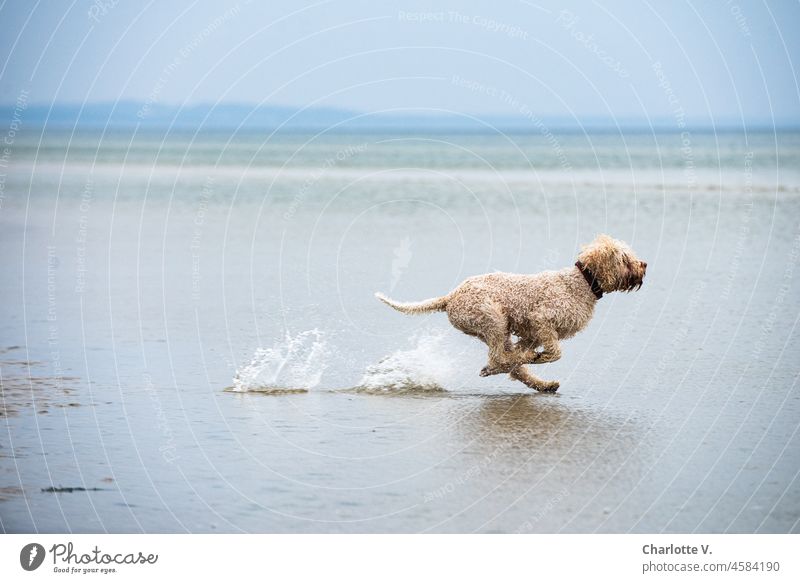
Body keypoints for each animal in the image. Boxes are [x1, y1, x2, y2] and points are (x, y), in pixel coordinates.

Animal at [378, 234, 648, 392]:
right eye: (625, 259)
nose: (644, 264)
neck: (582, 282)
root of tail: (450, 296)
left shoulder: (532, 333)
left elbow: (526, 356)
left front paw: (530, 357)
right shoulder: (542, 321)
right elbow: (554, 353)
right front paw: (537, 357)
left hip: (495, 329)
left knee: (507, 363)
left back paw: (542, 383)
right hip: (492, 318)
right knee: (499, 358)